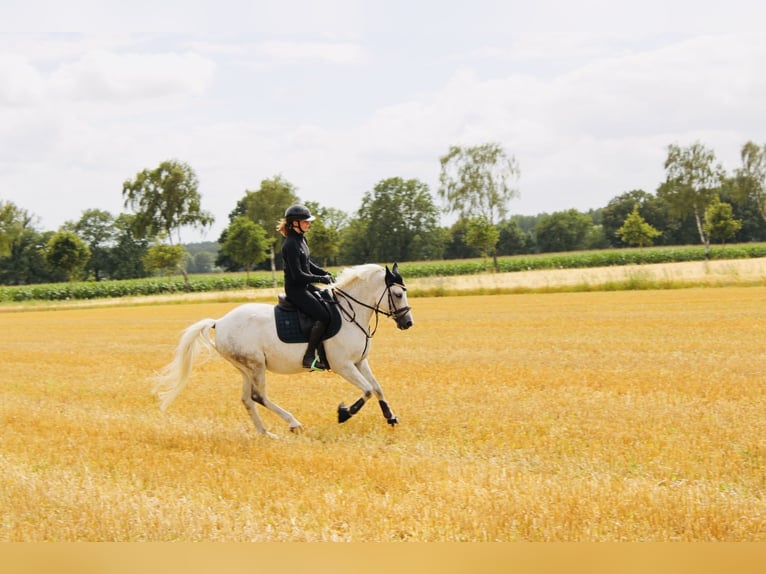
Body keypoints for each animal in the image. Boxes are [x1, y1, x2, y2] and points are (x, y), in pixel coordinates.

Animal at [152, 263, 414, 438]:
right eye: (397, 294)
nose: (408, 323)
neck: (351, 312)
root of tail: (220, 322)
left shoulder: (360, 362)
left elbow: (377, 388)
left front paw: (390, 417)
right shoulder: (343, 365)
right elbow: (368, 390)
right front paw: (344, 413)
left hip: (245, 368)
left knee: (247, 399)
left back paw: (265, 433)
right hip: (256, 365)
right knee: (258, 396)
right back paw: (293, 423)